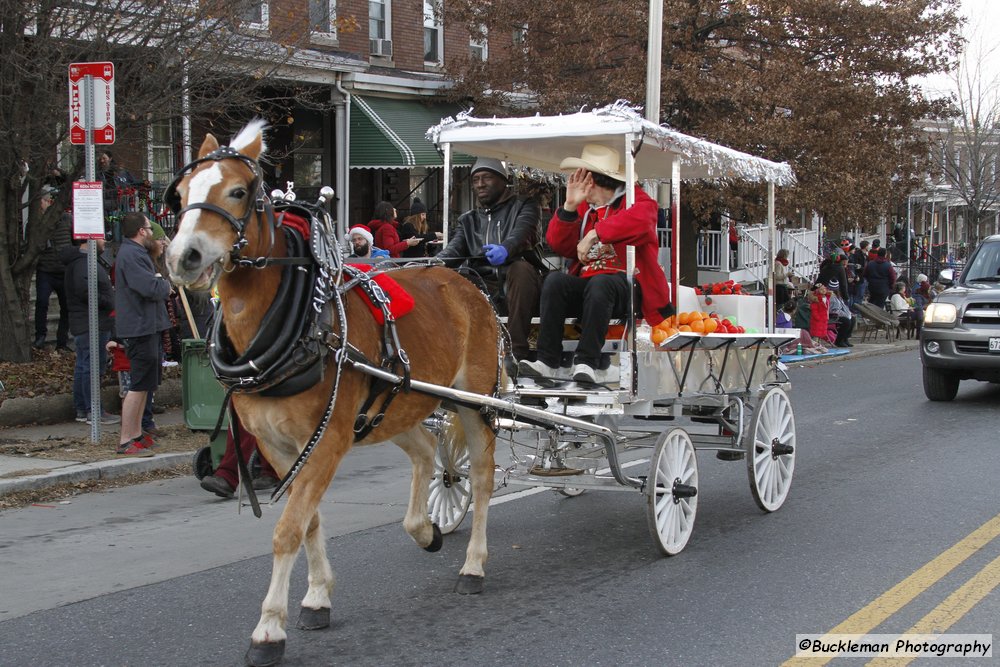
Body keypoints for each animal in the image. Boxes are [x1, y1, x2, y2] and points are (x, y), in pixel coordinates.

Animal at [168, 121, 504, 667]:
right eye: (180, 194)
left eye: (238, 192)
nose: (183, 257)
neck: (299, 325)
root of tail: (465, 279)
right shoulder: (279, 445)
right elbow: (307, 522)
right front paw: (317, 597)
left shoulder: (326, 441)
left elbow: (288, 528)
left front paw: (269, 628)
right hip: (391, 406)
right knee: (426, 451)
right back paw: (423, 528)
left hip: (474, 402)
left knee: (481, 477)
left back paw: (473, 564)